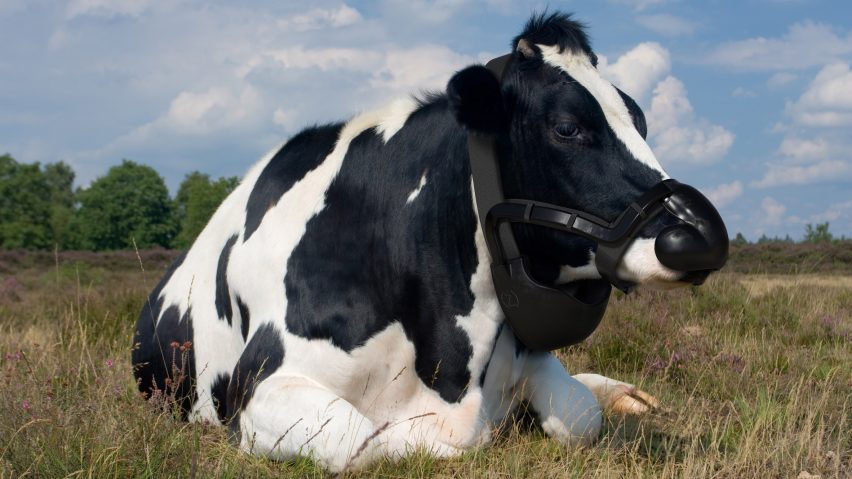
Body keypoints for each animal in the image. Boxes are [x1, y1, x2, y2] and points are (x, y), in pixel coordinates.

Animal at [132, 12, 728, 472]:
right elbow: (367, 440)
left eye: (641, 121)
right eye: (567, 127)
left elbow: (581, 414)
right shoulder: (262, 383)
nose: (700, 236)